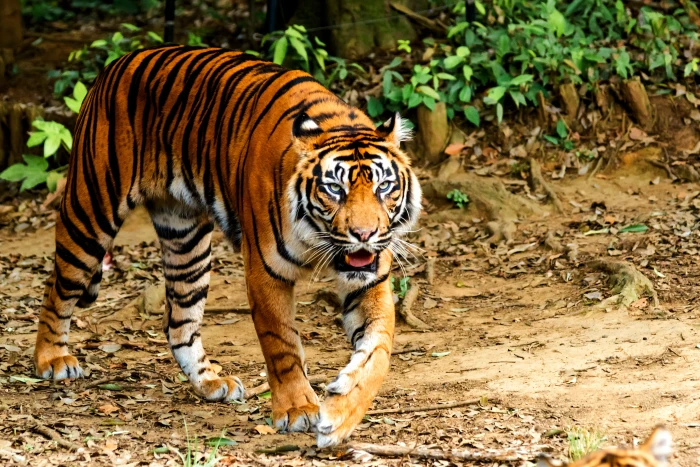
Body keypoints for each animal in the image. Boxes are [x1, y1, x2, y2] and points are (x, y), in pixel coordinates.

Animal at [33, 44, 422, 448]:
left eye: (383, 187)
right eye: (334, 189)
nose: (364, 234)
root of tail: (118, 62)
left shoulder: (369, 280)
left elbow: (378, 349)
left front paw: (342, 413)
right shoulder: (265, 271)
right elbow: (281, 343)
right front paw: (297, 409)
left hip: (186, 241)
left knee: (179, 322)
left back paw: (210, 382)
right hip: (90, 211)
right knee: (56, 287)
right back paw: (52, 359)